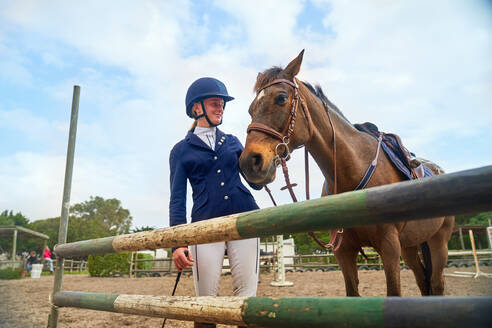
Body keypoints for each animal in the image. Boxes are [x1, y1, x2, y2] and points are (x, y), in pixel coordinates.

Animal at [238, 50, 454, 298]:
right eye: (250, 109)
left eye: (281, 98)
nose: (249, 163)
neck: (352, 170)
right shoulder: (344, 252)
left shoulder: (390, 247)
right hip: (410, 246)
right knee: (423, 283)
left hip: (438, 242)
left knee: (436, 284)